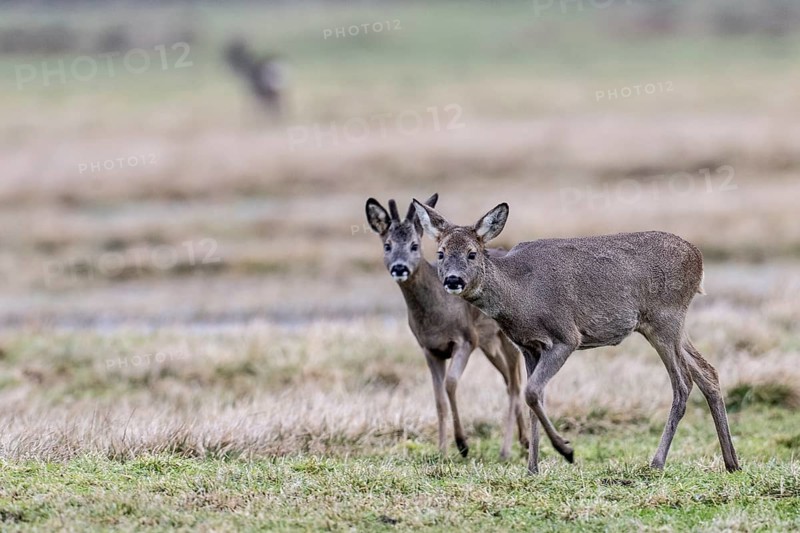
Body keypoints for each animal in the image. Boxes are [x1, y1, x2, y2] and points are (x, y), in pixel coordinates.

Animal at [366, 194, 528, 459]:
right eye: (387, 245)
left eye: (414, 245)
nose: (399, 267)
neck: (435, 318)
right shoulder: (430, 349)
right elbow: (438, 398)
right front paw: (441, 450)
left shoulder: (466, 339)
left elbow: (451, 384)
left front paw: (462, 444)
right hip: (489, 344)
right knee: (509, 379)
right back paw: (523, 441)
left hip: (504, 338)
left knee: (514, 384)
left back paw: (506, 450)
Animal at [412, 199, 740, 474]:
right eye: (440, 253)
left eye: (472, 253)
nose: (453, 280)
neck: (520, 295)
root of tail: (698, 258)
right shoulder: (528, 347)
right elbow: (533, 397)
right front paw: (532, 467)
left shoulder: (566, 336)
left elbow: (531, 392)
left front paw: (565, 451)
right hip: (669, 325)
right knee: (708, 373)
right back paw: (731, 462)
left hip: (664, 318)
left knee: (682, 384)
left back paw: (657, 462)